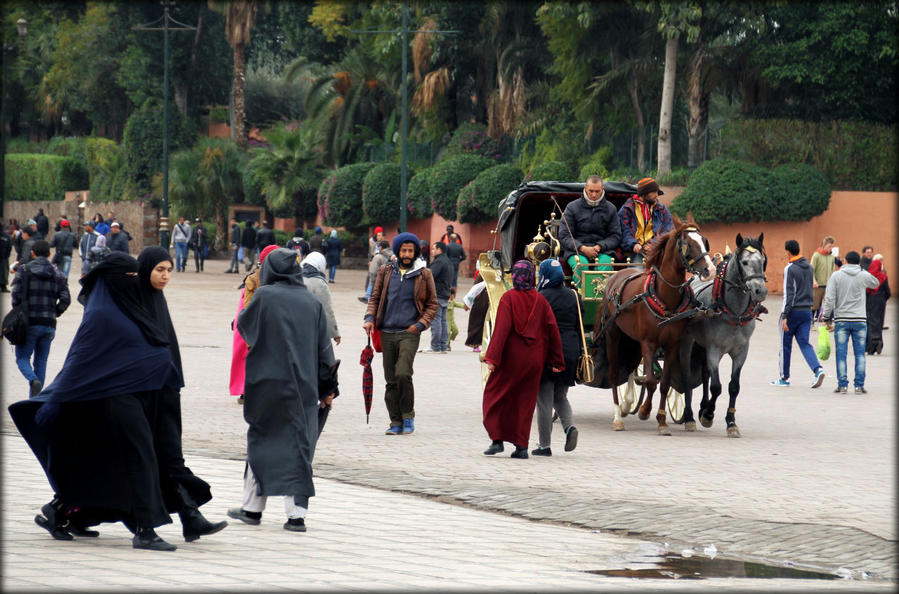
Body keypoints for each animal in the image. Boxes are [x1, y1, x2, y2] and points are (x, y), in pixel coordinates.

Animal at [592, 222, 716, 434]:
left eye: (705, 241)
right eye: (688, 244)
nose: (710, 269)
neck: (665, 297)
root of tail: (614, 278)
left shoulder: (671, 345)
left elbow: (664, 383)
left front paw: (661, 420)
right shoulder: (649, 343)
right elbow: (650, 381)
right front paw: (644, 411)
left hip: (631, 340)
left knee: (631, 368)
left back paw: (627, 404)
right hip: (613, 335)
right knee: (614, 373)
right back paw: (618, 416)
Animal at [672, 235, 768, 434]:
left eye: (763, 261)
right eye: (744, 262)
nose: (760, 291)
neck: (734, 312)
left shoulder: (741, 351)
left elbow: (734, 387)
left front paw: (731, 422)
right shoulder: (714, 349)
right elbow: (716, 387)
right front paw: (708, 415)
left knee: (704, 373)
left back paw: (701, 406)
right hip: (687, 343)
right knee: (687, 377)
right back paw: (689, 416)